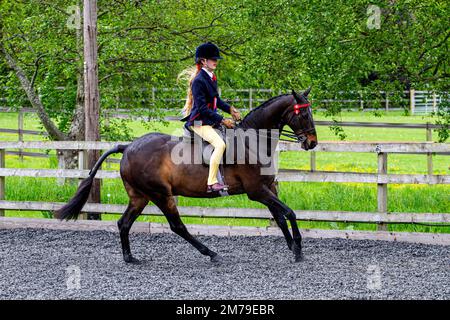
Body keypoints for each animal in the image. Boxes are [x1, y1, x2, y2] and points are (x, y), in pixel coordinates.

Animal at [54, 87, 318, 262]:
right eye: (304, 114)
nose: (312, 143)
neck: (252, 141)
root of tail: (127, 147)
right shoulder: (256, 191)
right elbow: (290, 213)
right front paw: (297, 249)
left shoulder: (268, 188)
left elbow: (281, 217)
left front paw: (291, 246)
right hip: (161, 194)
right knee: (177, 226)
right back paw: (210, 253)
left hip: (140, 196)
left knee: (124, 223)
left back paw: (130, 258)